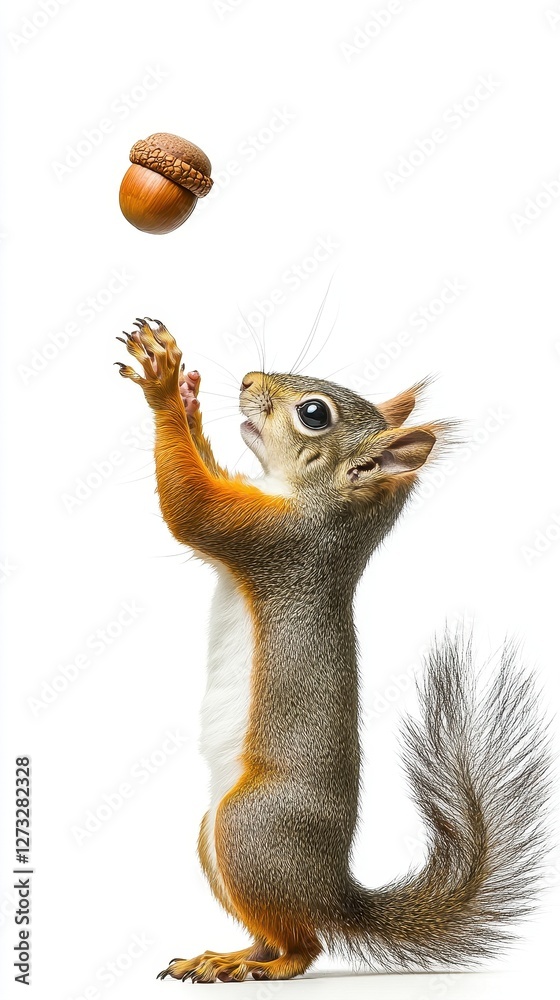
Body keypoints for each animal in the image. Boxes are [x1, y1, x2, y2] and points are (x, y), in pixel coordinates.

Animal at [117, 317, 550, 984]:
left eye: (314, 414)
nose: (247, 381)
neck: (323, 509)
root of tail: (333, 894)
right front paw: (187, 392)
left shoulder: (276, 539)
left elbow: (191, 507)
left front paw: (162, 385)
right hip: (215, 838)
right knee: (274, 932)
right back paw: (227, 956)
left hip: (250, 828)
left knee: (305, 946)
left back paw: (265, 967)